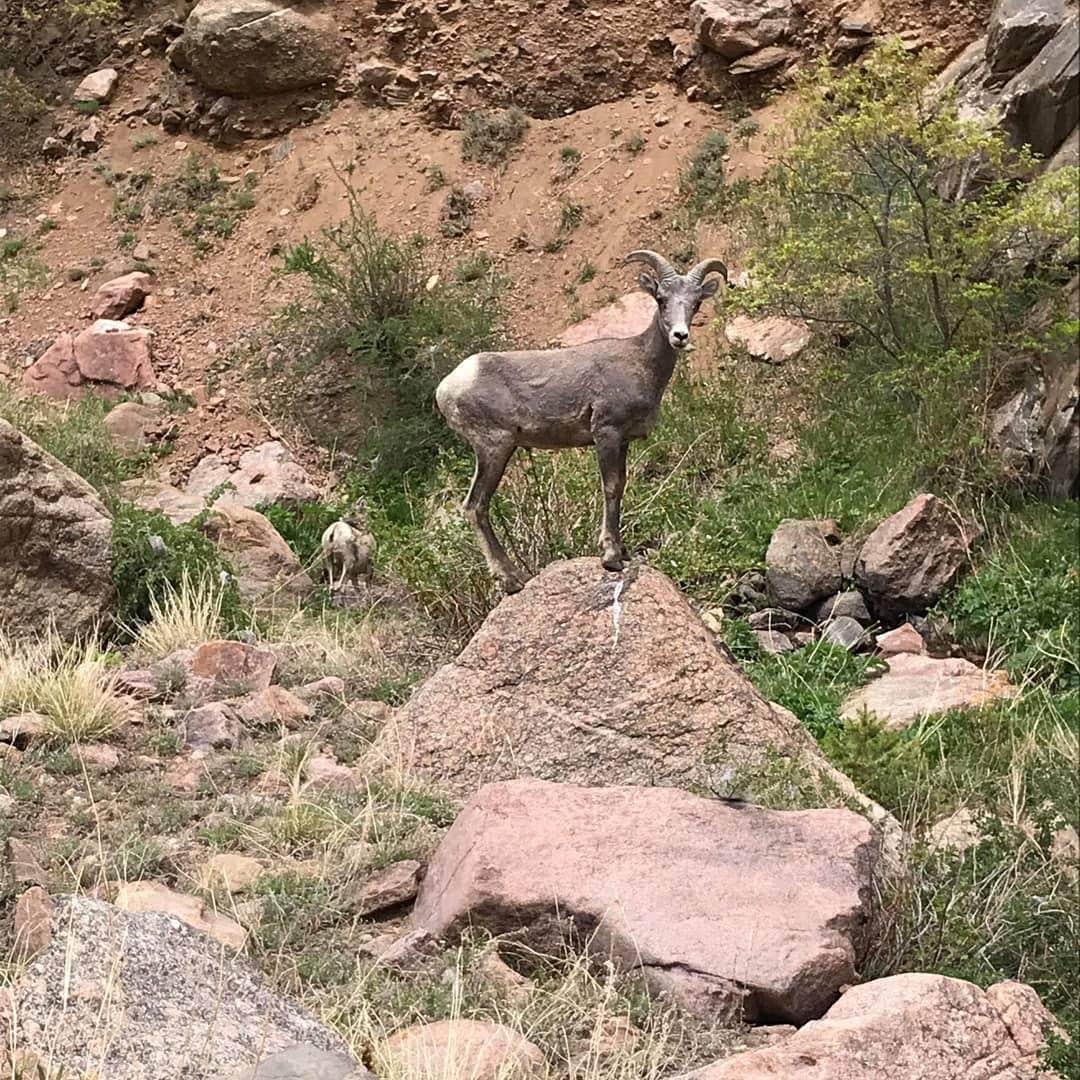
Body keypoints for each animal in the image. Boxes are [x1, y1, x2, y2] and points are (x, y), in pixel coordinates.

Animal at [432, 249, 725, 596]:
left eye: (696, 303)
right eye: (661, 299)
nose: (680, 336)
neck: (642, 362)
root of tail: (446, 388)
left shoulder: (623, 440)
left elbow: (621, 485)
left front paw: (623, 552)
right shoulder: (606, 432)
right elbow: (610, 486)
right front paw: (611, 557)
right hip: (495, 447)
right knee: (476, 506)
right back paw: (513, 579)